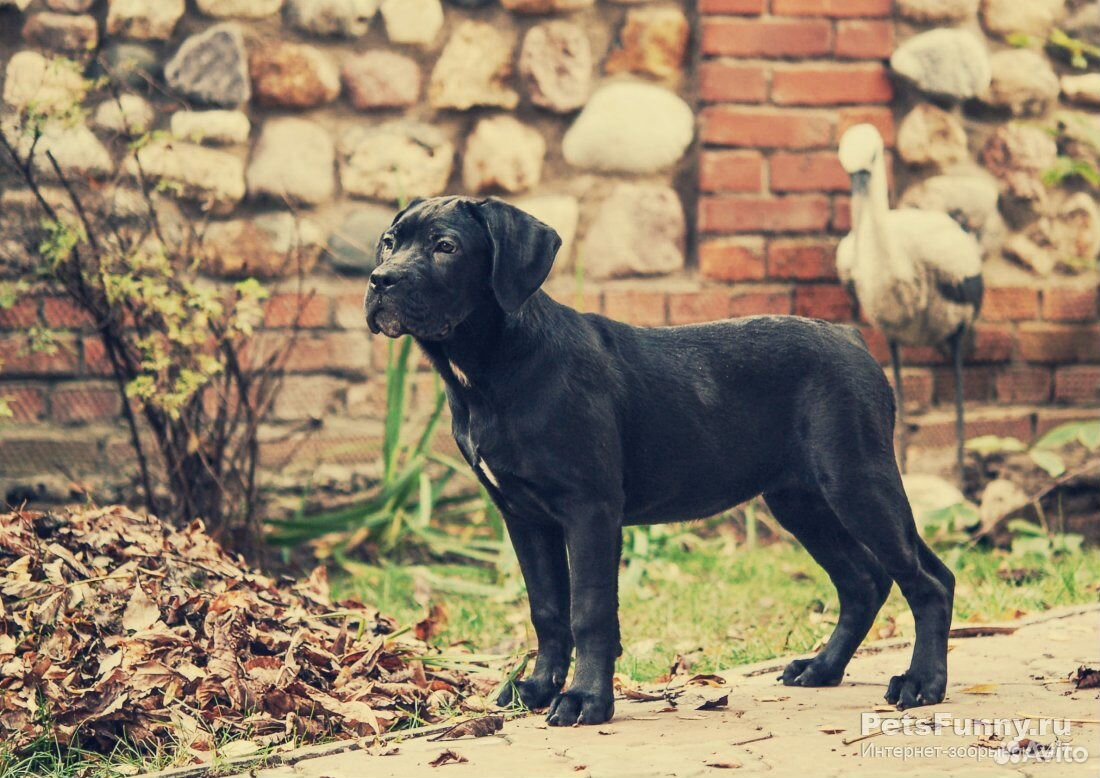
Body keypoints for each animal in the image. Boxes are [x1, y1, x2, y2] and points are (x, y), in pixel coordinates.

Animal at [363, 198, 954, 726]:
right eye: (389, 242)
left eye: (445, 247)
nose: (379, 280)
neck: (491, 367)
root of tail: (851, 337)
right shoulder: (524, 516)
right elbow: (548, 609)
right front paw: (537, 689)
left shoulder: (590, 509)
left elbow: (589, 610)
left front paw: (585, 701)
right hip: (801, 500)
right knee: (863, 580)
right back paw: (823, 669)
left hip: (857, 481)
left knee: (929, 579)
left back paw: (921, 683)